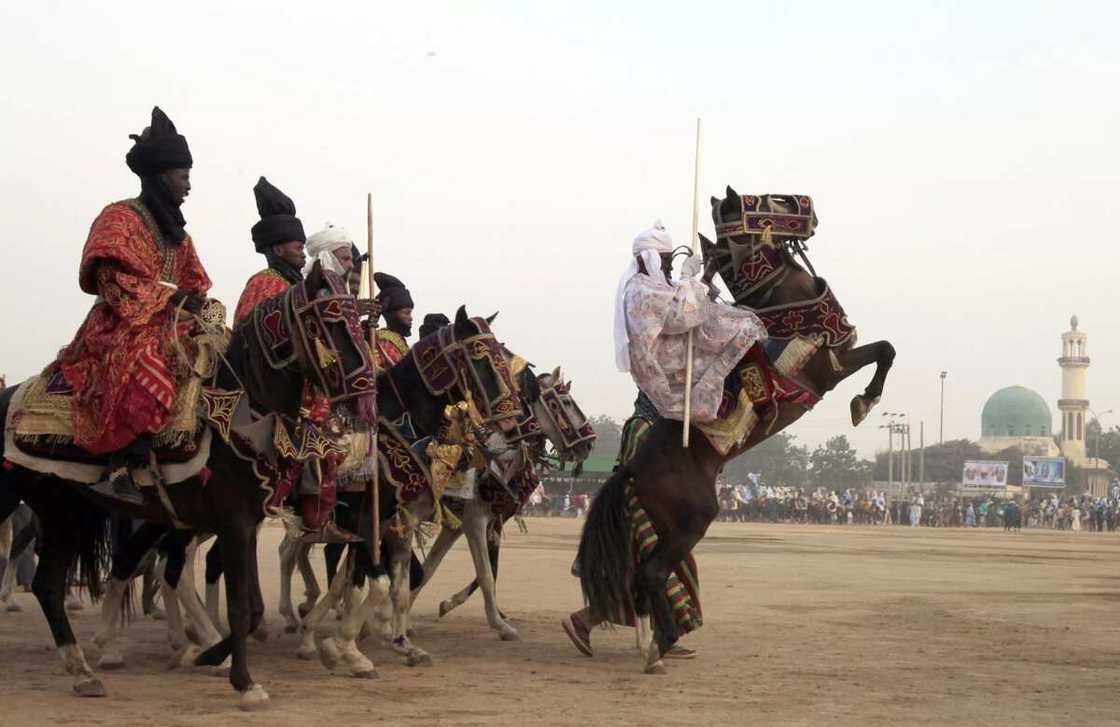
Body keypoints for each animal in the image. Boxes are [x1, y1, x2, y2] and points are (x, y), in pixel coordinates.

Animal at [0, 263, 376, 707]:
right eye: (329, 322)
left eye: (358, 318)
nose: (366, 394)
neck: (247, 411)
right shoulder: (234, 523)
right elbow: (242, 606)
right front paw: (243, 680)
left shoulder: (246, 521)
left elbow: (253, 608)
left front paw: (212, 657)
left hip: (65, 510)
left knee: (51, 584)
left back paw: (84, 671)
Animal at [573, 190, 896, 672]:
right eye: (770, 203)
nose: (809, 208)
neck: (787, 313)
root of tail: (630, 468)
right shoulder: (829, 368)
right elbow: (884, 351)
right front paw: (865, 402)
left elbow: (884, 349)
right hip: (694, 518)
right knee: (652, 571)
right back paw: (660, 645)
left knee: (639, 576)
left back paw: (608, 630)